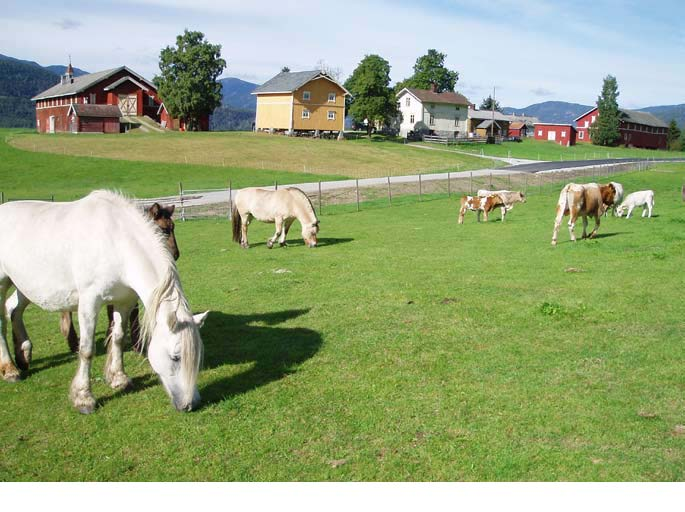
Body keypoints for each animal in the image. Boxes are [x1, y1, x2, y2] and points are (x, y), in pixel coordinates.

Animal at [0, 190, 208, 414]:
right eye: (176, 357)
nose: (190, 404)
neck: (115, 243)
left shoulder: (124, 302)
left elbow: (118, 337)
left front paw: (119, 378)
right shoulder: (89, 303)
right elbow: (86, 350)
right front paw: (84, 398)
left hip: (25, 285)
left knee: (13, 310)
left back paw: (23, 355)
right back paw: (10, 370)